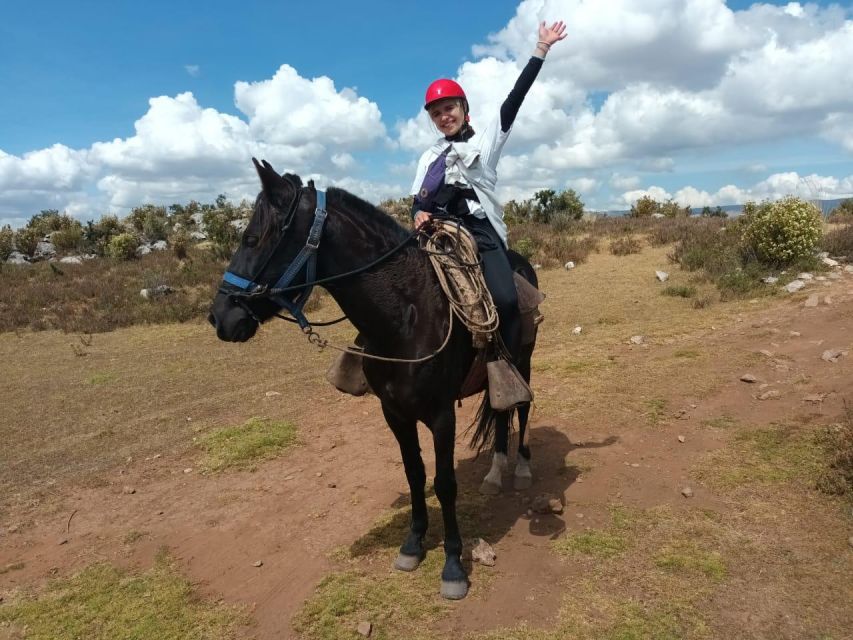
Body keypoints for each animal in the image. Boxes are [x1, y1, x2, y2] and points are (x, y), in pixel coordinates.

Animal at [208, 158, 540, 596]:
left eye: (251, 238)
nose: (219, 316)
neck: (408, 312)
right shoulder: (394, 412)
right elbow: (415, 474)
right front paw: (414, 544)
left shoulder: (441, 416)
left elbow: (445, 483)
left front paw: (453, 564)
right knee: (500, 412)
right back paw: (496, 472)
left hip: (523, 361)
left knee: (521, 408)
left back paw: (520, 470)